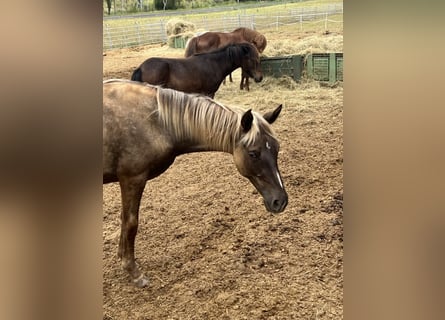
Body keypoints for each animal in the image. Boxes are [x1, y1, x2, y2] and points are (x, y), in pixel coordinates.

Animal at [103, 80, 288, 288]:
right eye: (253, 153)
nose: (280, 201)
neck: (156, 122)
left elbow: (124, 219)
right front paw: (133, 271)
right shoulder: (133, 178)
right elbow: (131, 223)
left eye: (276, 149)